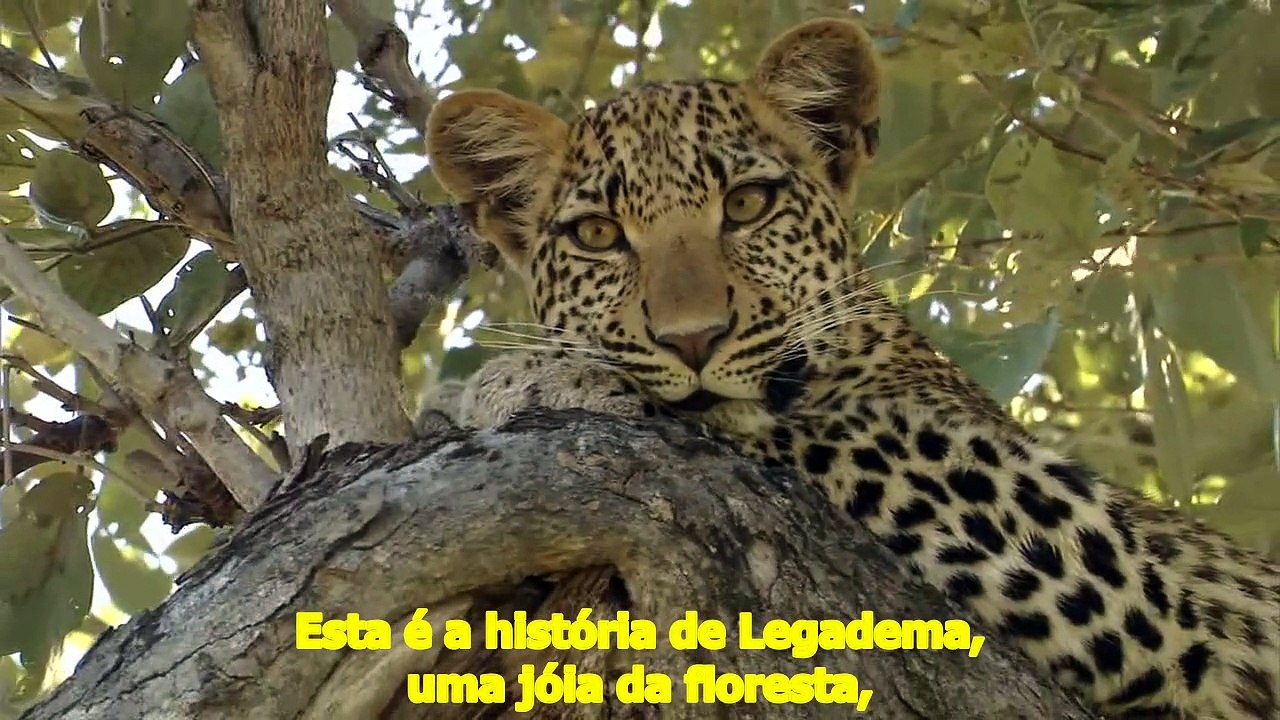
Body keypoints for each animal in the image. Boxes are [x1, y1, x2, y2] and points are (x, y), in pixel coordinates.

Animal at [424, 17, 1280, 719]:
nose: (694, 340)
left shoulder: (1131, 579)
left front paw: (524, 379)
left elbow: (795, 424)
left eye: (748, 205)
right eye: (598, 235)